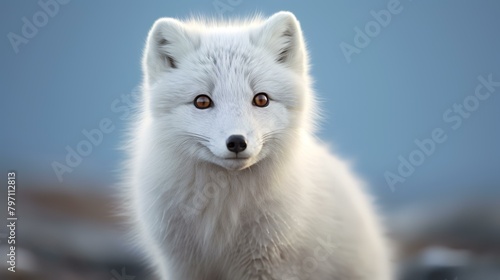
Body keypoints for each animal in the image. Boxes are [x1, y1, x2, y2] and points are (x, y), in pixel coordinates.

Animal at [123, 11, 392, 280]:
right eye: (202, 101)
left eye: (261, 99)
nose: (236, 142)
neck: (223, 206)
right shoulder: (182, 265)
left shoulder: (269, 265)